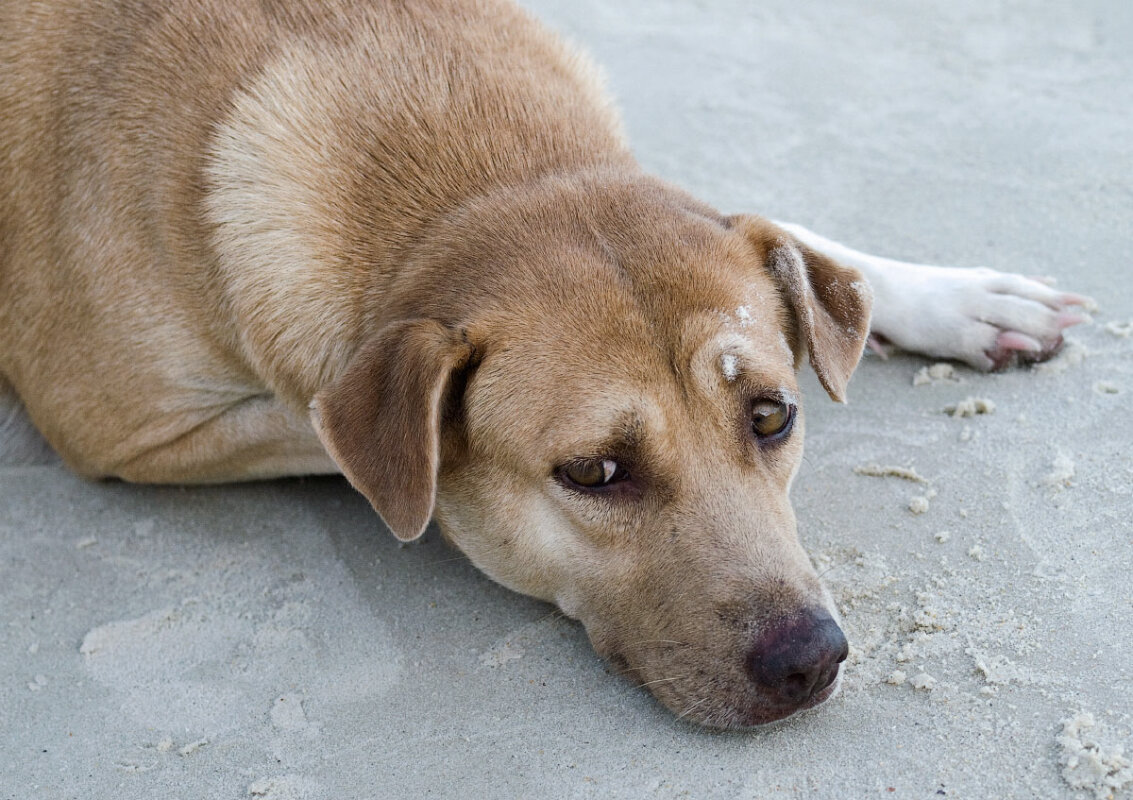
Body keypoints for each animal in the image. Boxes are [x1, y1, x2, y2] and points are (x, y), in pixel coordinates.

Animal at [0, 0, 1087, 725]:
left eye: (772, 417)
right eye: (594, 472)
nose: (809, 661)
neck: (485, 176)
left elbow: (778, 230)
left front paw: (950, 295)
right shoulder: (128, 429)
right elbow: (339, 432)